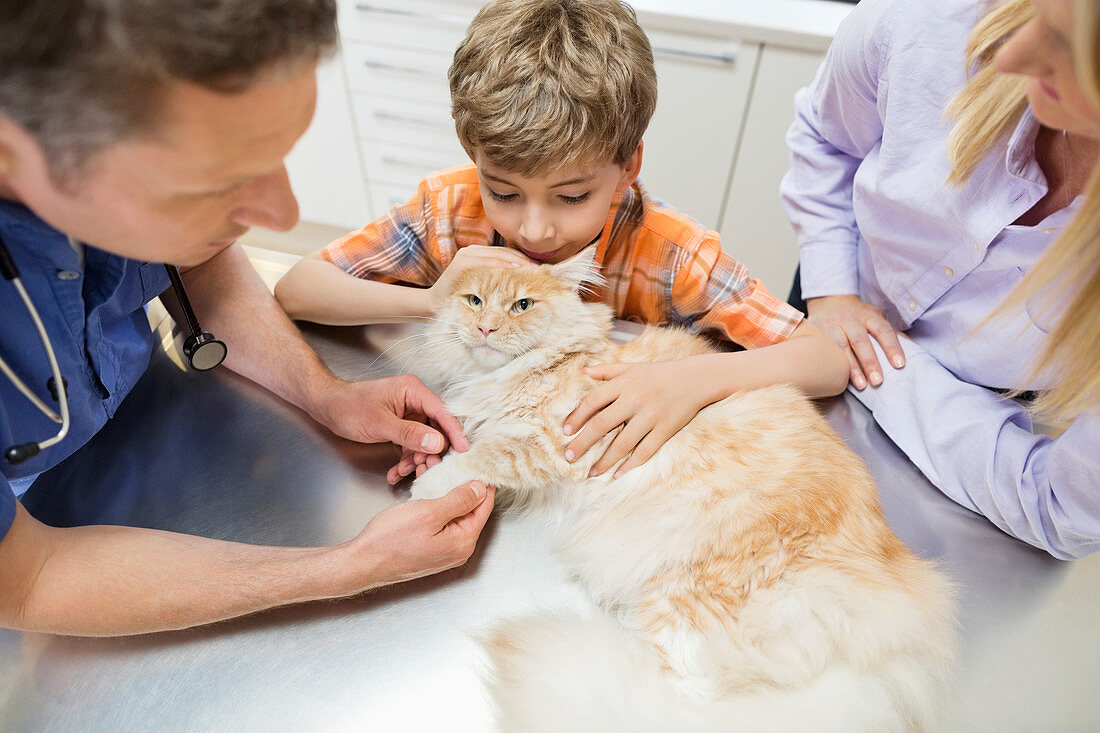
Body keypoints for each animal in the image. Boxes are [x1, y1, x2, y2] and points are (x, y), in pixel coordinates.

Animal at [400, 248, 959, 726]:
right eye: (474, 301)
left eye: (522, 305)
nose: (486, 327)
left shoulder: (553, 443)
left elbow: (483, 459)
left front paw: (428, 484)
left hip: (689, 600)